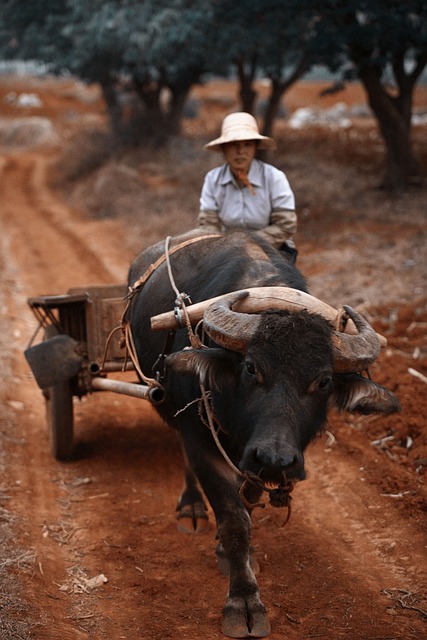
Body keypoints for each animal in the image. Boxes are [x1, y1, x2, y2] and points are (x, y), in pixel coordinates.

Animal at [125, 229, 400, 636]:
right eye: (251, 367)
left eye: (323, 381)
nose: (275, 458)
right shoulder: (204, 443)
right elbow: (234, 520)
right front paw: (243, 602)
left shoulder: (254, 461)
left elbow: (248, 507)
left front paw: (236, 555)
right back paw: (191, 507)